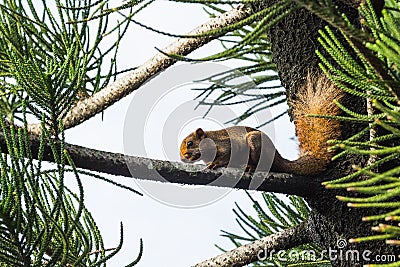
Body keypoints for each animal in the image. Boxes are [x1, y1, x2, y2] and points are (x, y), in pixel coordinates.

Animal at [180, 74, 342, 177]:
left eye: (190, 143)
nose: (183, 157)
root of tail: (279, 158)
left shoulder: (225, 144)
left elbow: (226, 154)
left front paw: (216, 164)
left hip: (255, 142)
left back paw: (250, 166)